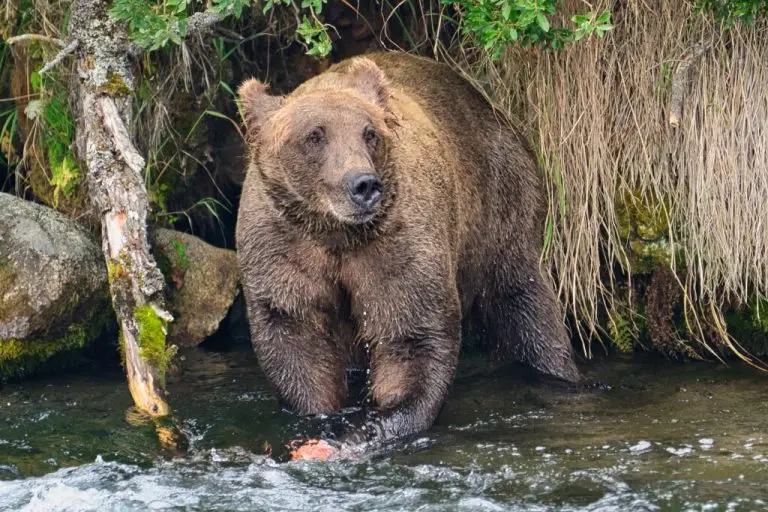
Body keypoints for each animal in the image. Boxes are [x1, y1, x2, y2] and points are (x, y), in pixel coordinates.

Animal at [235, 51, 581, 459]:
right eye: (314, 135)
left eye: (369, 133)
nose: (363, 184)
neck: (336, 234)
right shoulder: (284, 245)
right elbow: (293, 332)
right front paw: (317, 420)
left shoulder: (397, 242)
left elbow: (413, 335)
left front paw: (368, 428)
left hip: (502, 202)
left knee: (526, 305)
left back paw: (560, 374)